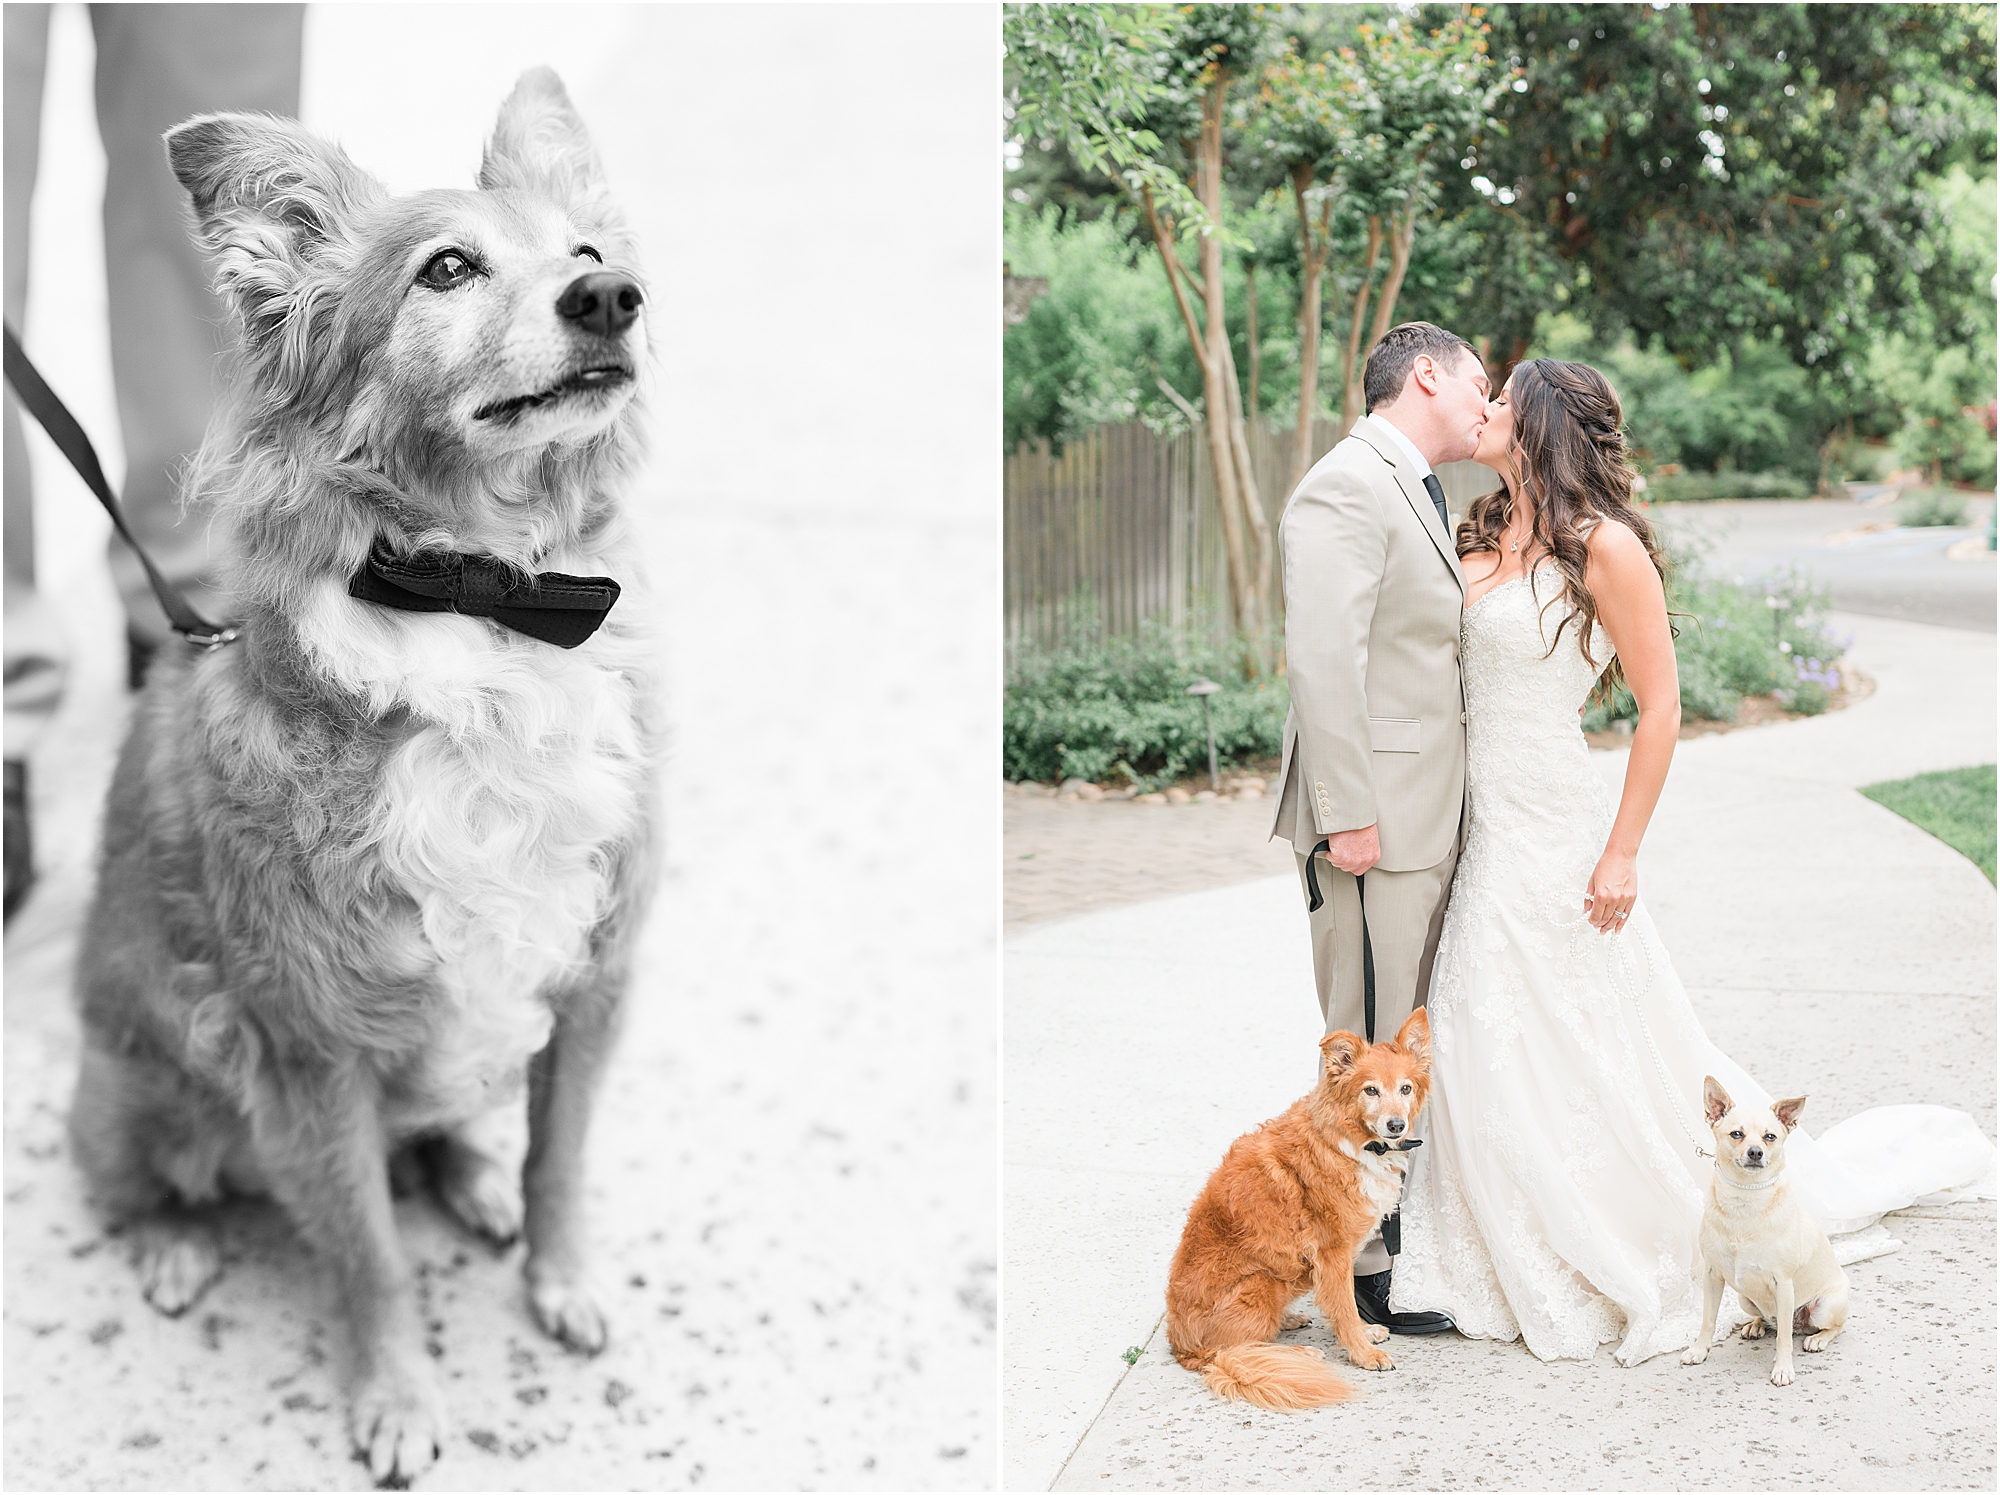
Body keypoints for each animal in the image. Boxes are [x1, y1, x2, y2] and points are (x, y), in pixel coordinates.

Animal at [68, 69, 656, 1487]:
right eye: (446, 268)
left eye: (588, 254)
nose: (613, 300)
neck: (490, 601)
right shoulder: (307, 1049)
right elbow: (369, 1254)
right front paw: (394, 1397)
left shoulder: (595, 979)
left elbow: (561, 1160)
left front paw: (557, 1274)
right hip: (138, 1076)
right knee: (138, 1182)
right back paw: (175, 1245)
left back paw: (472, 1175)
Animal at [1168, 1003, 1432, 1415]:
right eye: (1370, 1090)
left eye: (1405, 1088)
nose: (1396, 1125)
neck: (1351, 1140)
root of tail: (1180, 1348)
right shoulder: (1333, 1251)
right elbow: (1344, 1305)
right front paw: (1363, 1353)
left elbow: (1346, 1305)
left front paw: (1364, 1334)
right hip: (1259, 1284)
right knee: (1233, 1350)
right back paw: (1301, 1353)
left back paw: (1288, 1322)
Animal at [1680, 1071, 1848, 1391]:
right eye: (1736, 1134)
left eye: (1770, 1137)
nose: (1756, 1151)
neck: (1744, 1200)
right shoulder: (1712, 1275)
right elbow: (1708, 1319)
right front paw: (1699, 1350)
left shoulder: (1783, 1283)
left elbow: (1783, 1339)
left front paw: (1783, 1368)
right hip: (1746, 1298)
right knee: (1771, 1321)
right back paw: (1756, 1326)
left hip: (1825, 1306)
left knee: (1829, 1327)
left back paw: (1817, 1339)